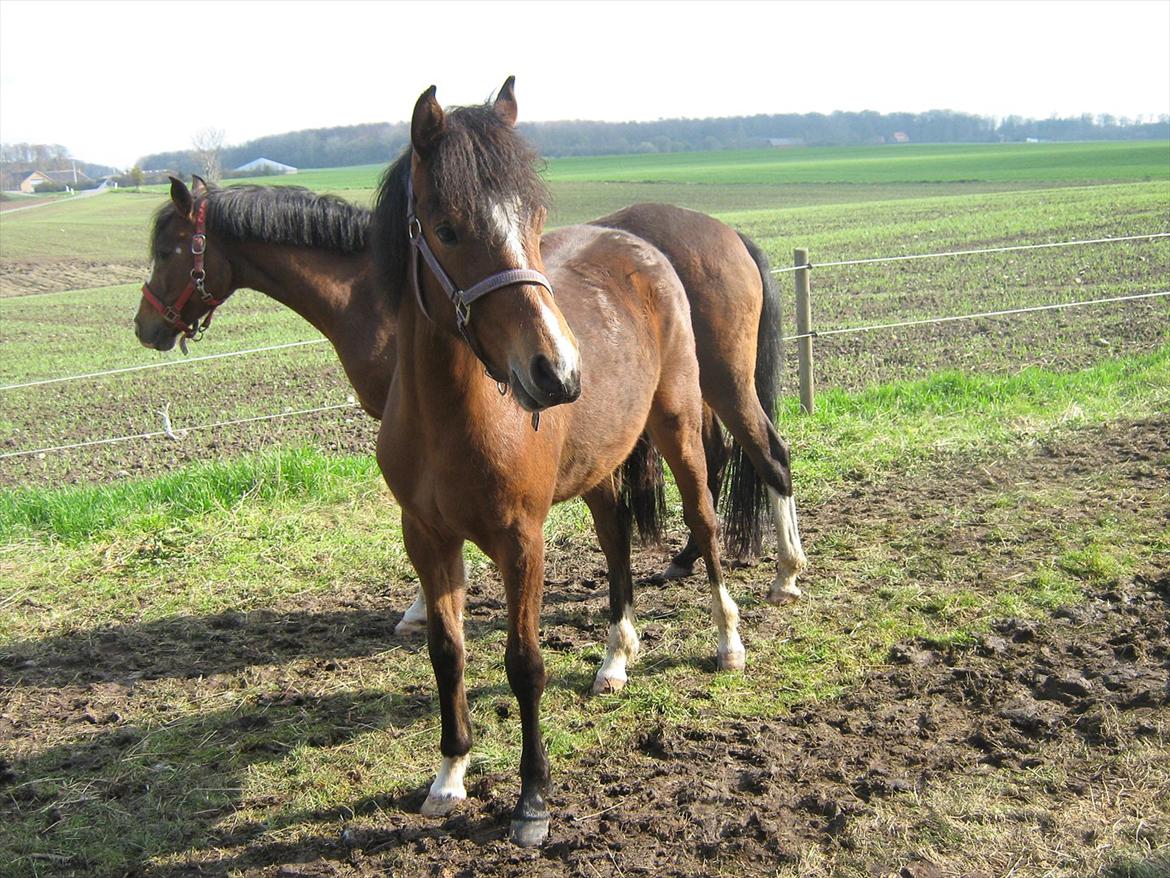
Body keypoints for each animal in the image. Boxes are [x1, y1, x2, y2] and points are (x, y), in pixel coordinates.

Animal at [367, 80, 739, 847]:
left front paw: (533, 800)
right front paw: (449, 774)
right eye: (446, 228)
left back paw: (727, 642)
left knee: (705, 522)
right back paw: (615, 659)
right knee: (617, 542)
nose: (559, 373)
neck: (454, 418)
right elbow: (447, 653)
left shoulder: (522, 540)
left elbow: (524, 664)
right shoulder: (426, 538)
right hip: (599, 470)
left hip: (680, 428)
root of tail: (640, 244)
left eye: (535, 217)